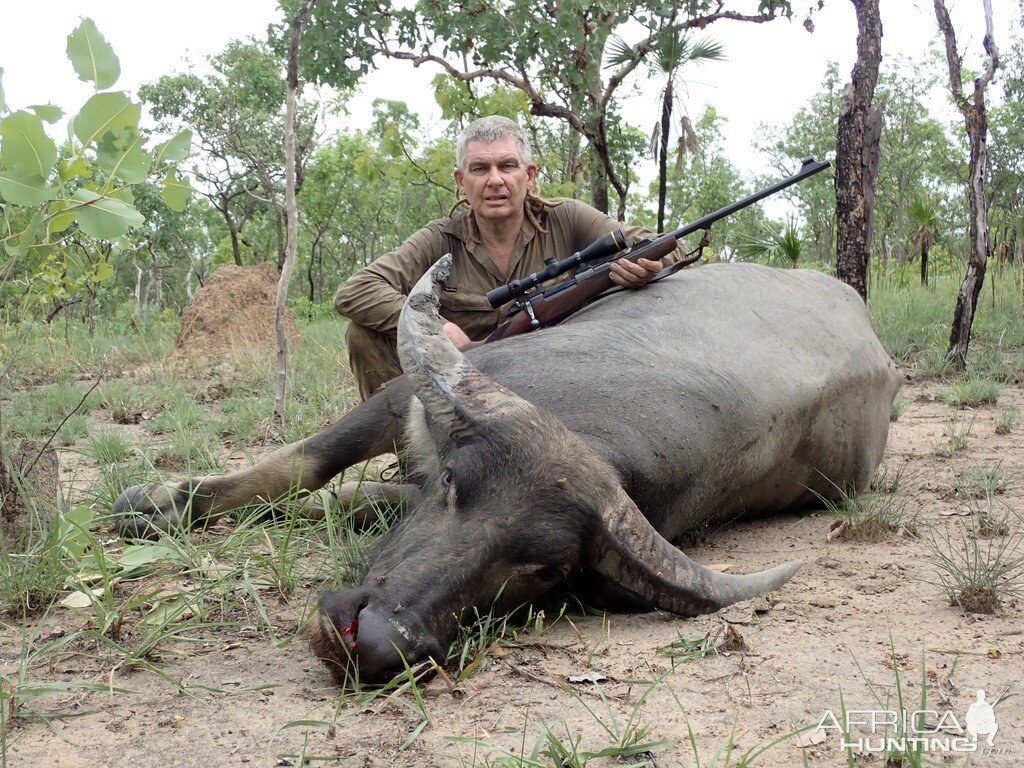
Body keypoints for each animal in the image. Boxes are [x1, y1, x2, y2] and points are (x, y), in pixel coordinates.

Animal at [116, 260, 897, 684]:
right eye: (455, 486)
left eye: (540, 570)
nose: (376, 641)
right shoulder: (398, 402)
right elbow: (301, 468)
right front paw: (151, 504)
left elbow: (345, 498)